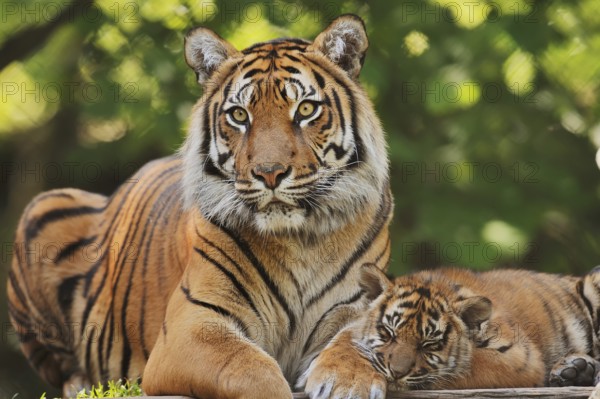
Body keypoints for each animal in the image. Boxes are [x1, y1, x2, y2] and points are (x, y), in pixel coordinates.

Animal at [9, 14, 396, 398]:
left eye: (305, 109)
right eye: (239, 115)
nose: (269, 173)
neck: (299, 239)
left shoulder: (359, 306)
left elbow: (355, 343)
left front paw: (349, 382)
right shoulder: (192, 326)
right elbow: (253, 370)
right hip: (43, 206)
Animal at [350, 266, 600, 390]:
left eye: (429, 344)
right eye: (388, 333)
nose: (396, 373)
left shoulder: (520, 357)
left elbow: (466, 365)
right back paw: (574, 370)